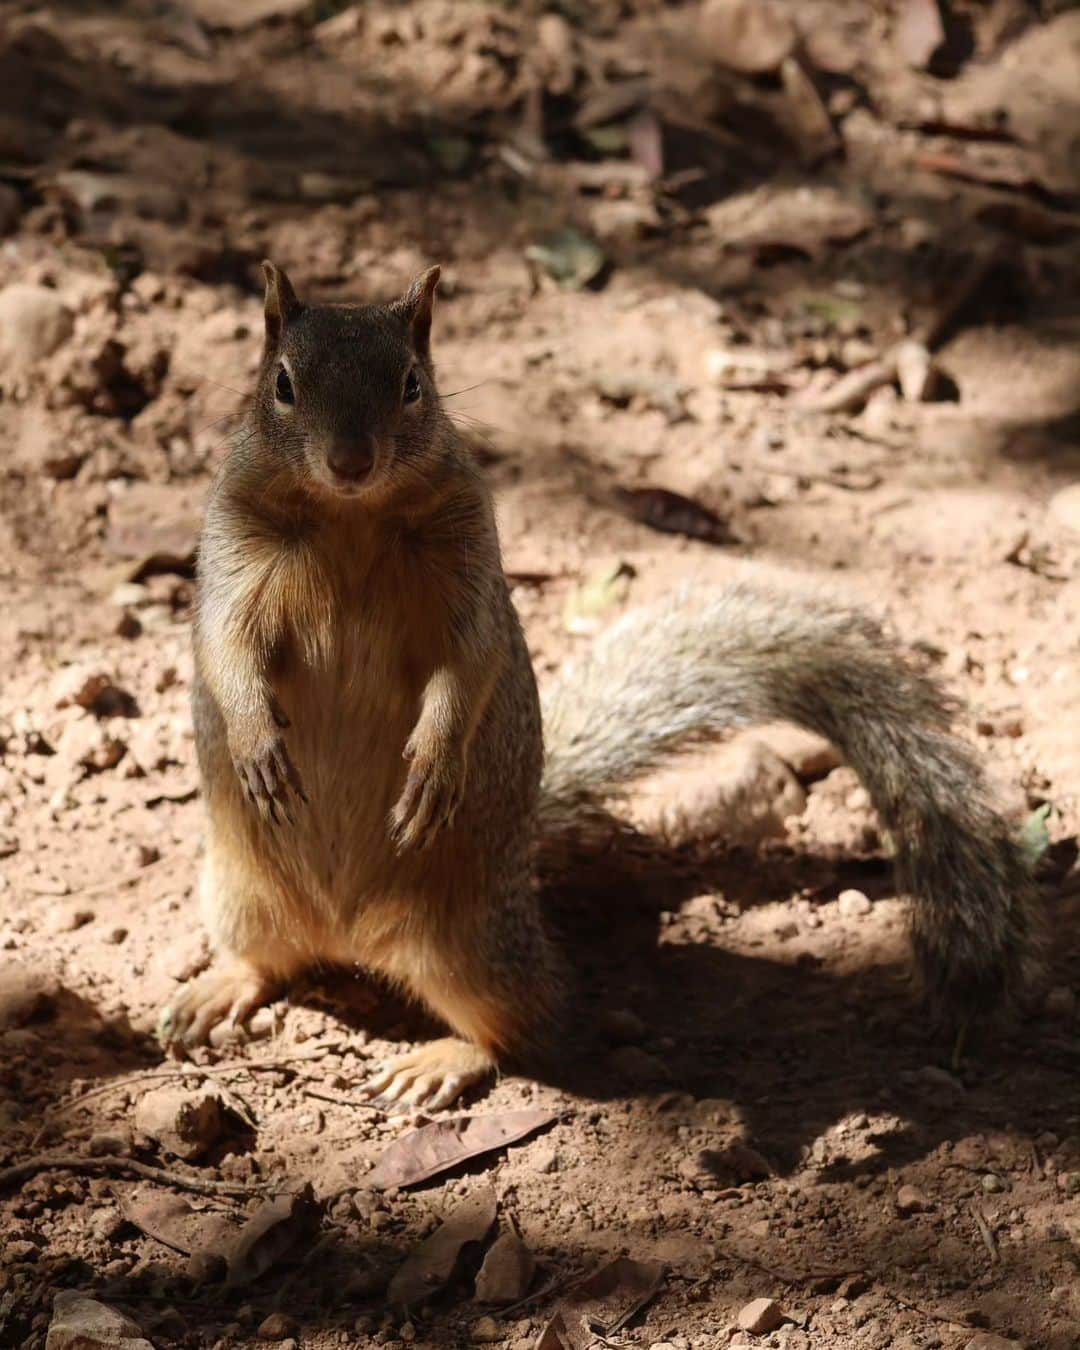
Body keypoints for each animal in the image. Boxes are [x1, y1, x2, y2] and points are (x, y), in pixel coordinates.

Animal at [160, 260, 1047, 1107]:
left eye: (412, 383)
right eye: (282, 383)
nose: (350, 461)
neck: (350, 516)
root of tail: (351, 938)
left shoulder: (471, 569)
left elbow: (469, 662)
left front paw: (435, 765)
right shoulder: (232, 552)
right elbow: (225, 645)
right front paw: (256, 744)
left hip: (473, 944)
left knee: (526, 1021)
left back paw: (440, 1061)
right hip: (239, 893)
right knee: (270, 962)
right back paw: (215, 991)